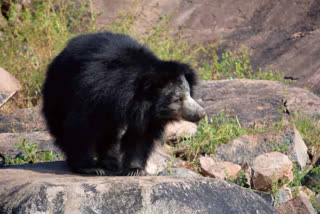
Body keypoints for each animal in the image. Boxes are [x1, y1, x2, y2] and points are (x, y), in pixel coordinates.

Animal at [42, 31, 205, 176]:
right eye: (178, 99)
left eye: (189, 94)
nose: (200, 113)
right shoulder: (92, 92)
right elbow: (81, 126)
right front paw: (90, 168)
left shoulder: (146, 115)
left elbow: (140, 136)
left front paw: (135, 170)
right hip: (59, 91)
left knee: (109, 132)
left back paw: (110, 162)